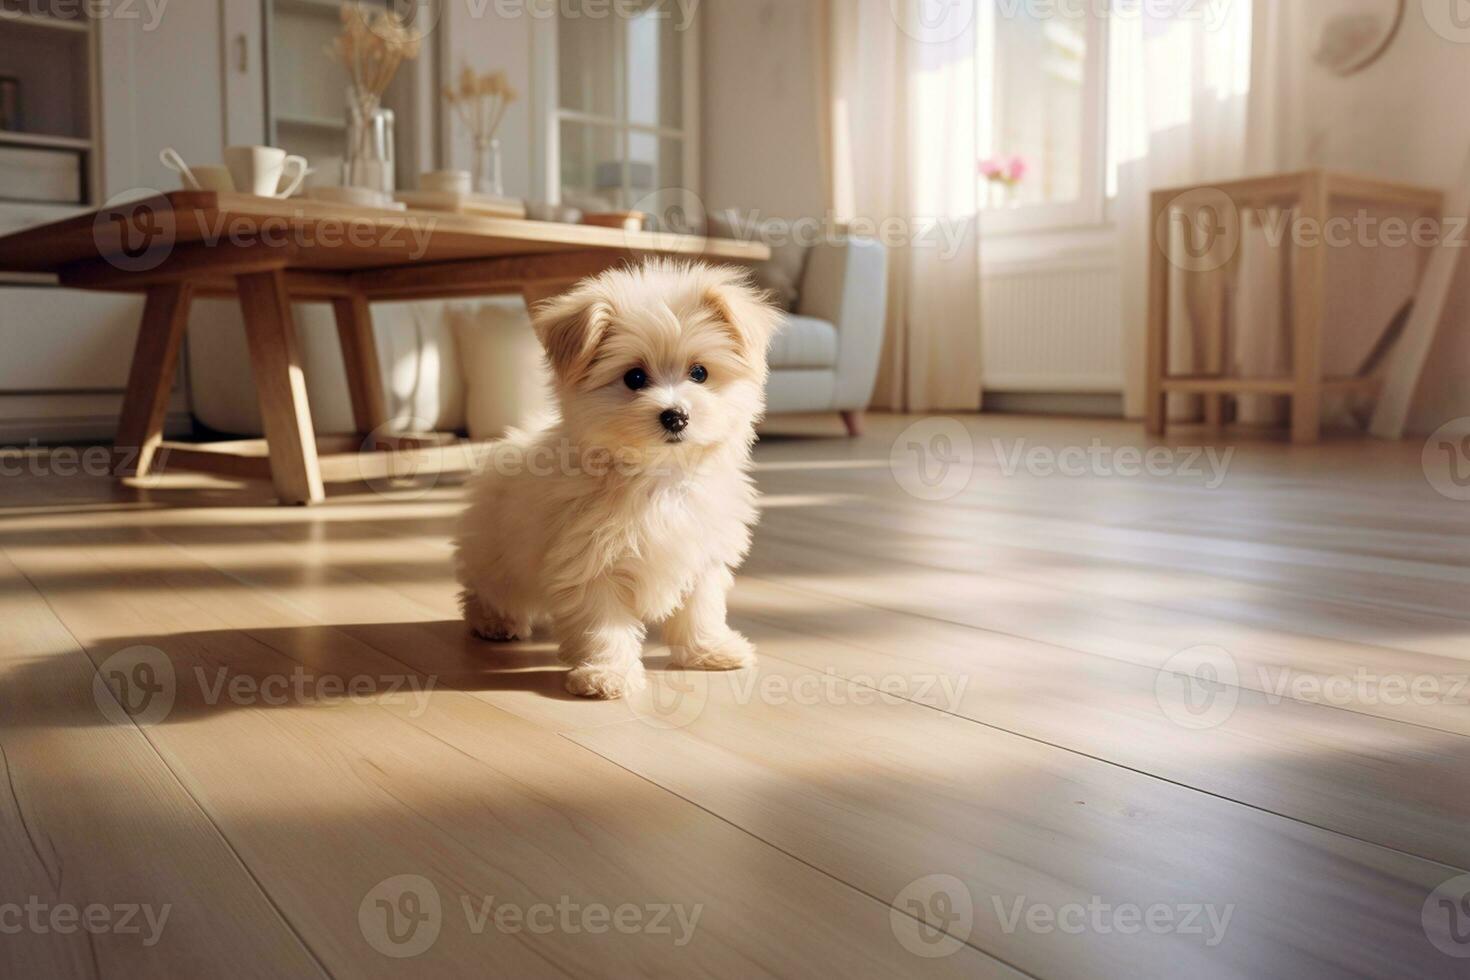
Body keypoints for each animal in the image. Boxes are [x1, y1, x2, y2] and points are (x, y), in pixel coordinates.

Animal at [455, 260, 782, 702]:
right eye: (634, 378)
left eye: (699, 373)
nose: (675, 416)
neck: (659, 476)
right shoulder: (591, 563)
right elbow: (603, 623)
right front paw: (607, 673)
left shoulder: (701, 553)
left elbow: (701, 607)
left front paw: (708, 649)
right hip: (498, 553)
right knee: (489, 588)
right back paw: (494, 621)